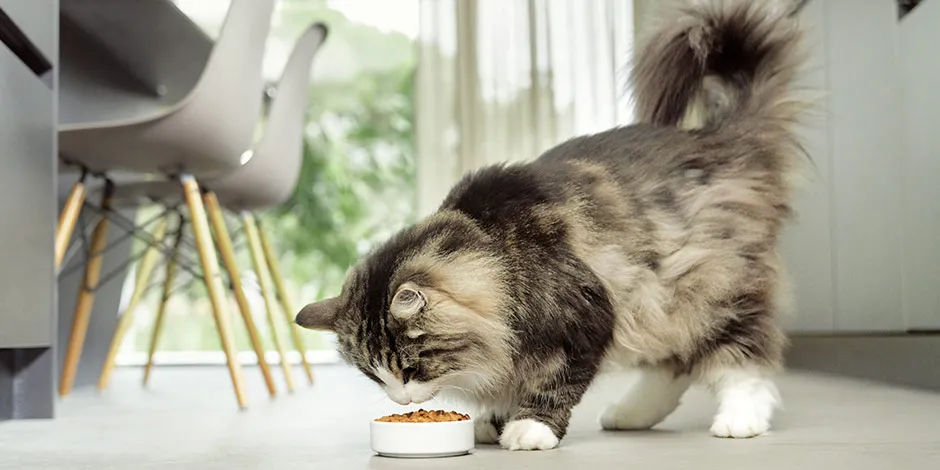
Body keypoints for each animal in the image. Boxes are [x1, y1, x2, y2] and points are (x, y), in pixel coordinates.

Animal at [300, 0, 808, 450]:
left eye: (410, 366)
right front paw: (495, 420)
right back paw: (630, 415)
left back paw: (739, 420)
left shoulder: (586, 316)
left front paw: (529, 429)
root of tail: (721, 140)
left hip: (714, 291)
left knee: (743, 362)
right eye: (374, 374)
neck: (498, 254)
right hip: (660, 300)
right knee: (673, 365)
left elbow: (553, 381)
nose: (400, 400)